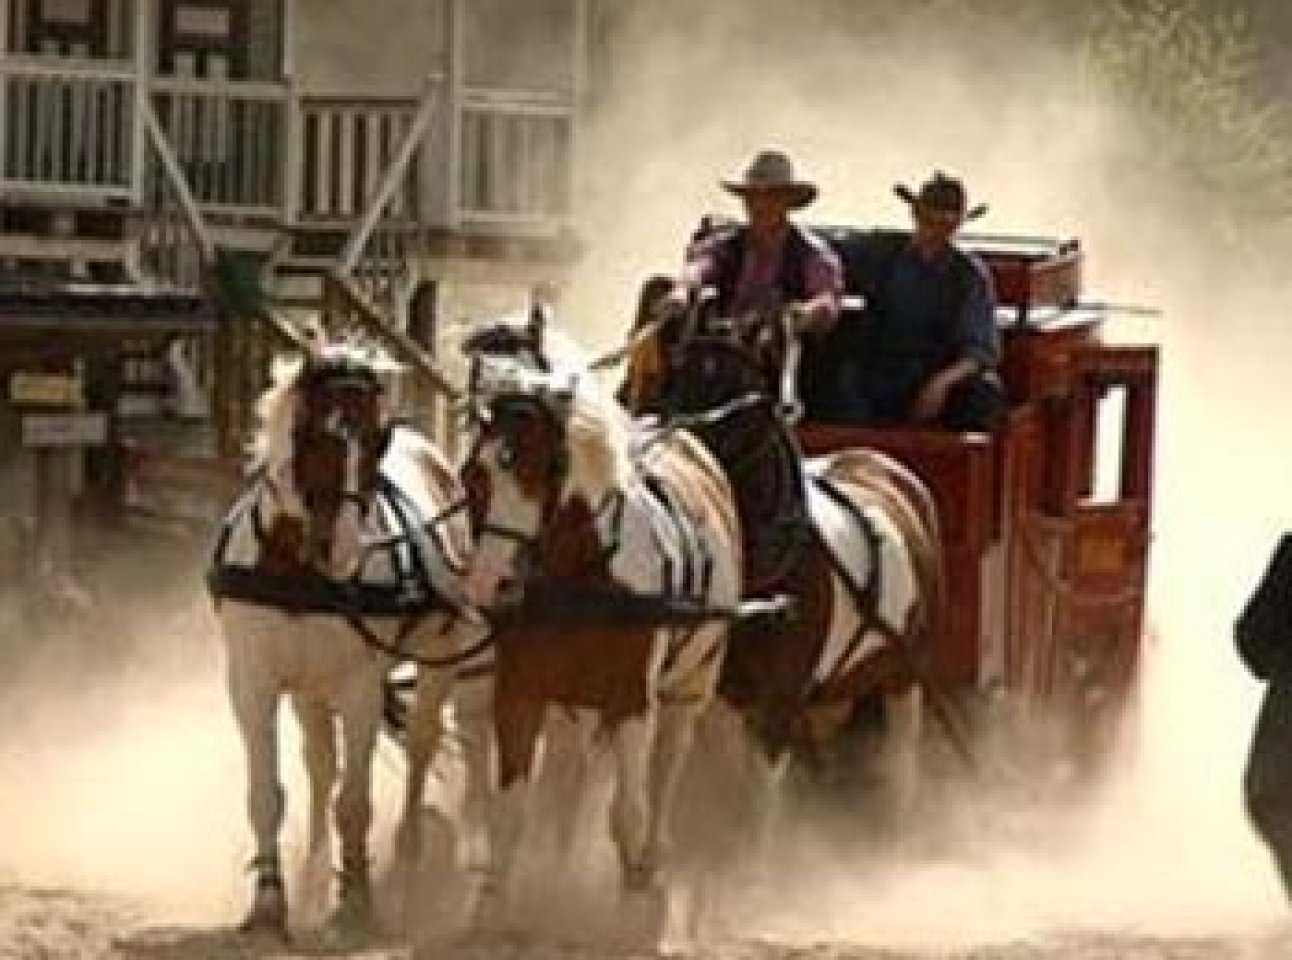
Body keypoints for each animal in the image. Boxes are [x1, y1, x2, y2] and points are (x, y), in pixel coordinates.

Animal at [206, 338, 488, 940]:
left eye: (378, 442)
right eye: (314, 433)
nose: (345, 547)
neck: (300, 573)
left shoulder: (360, 687)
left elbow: (354, 804)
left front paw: (355, 903)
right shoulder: (253, 683)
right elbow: (268, 795)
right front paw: (270, 903)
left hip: (438, 659)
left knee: (421, 745)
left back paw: (407, 861)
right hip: (309, 688)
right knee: (319, 765)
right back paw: (314, 873)